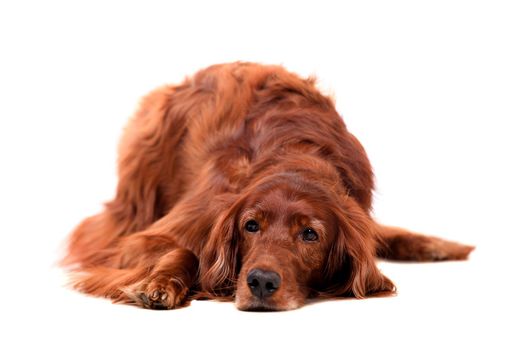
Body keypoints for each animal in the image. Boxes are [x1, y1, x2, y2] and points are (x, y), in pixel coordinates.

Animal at [62, 61, 474, 310]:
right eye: (250, 226)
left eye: (310, 234)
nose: (260, 282)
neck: (297, 159)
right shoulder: (146, 239)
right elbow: (187, 249)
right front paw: (159, 284)